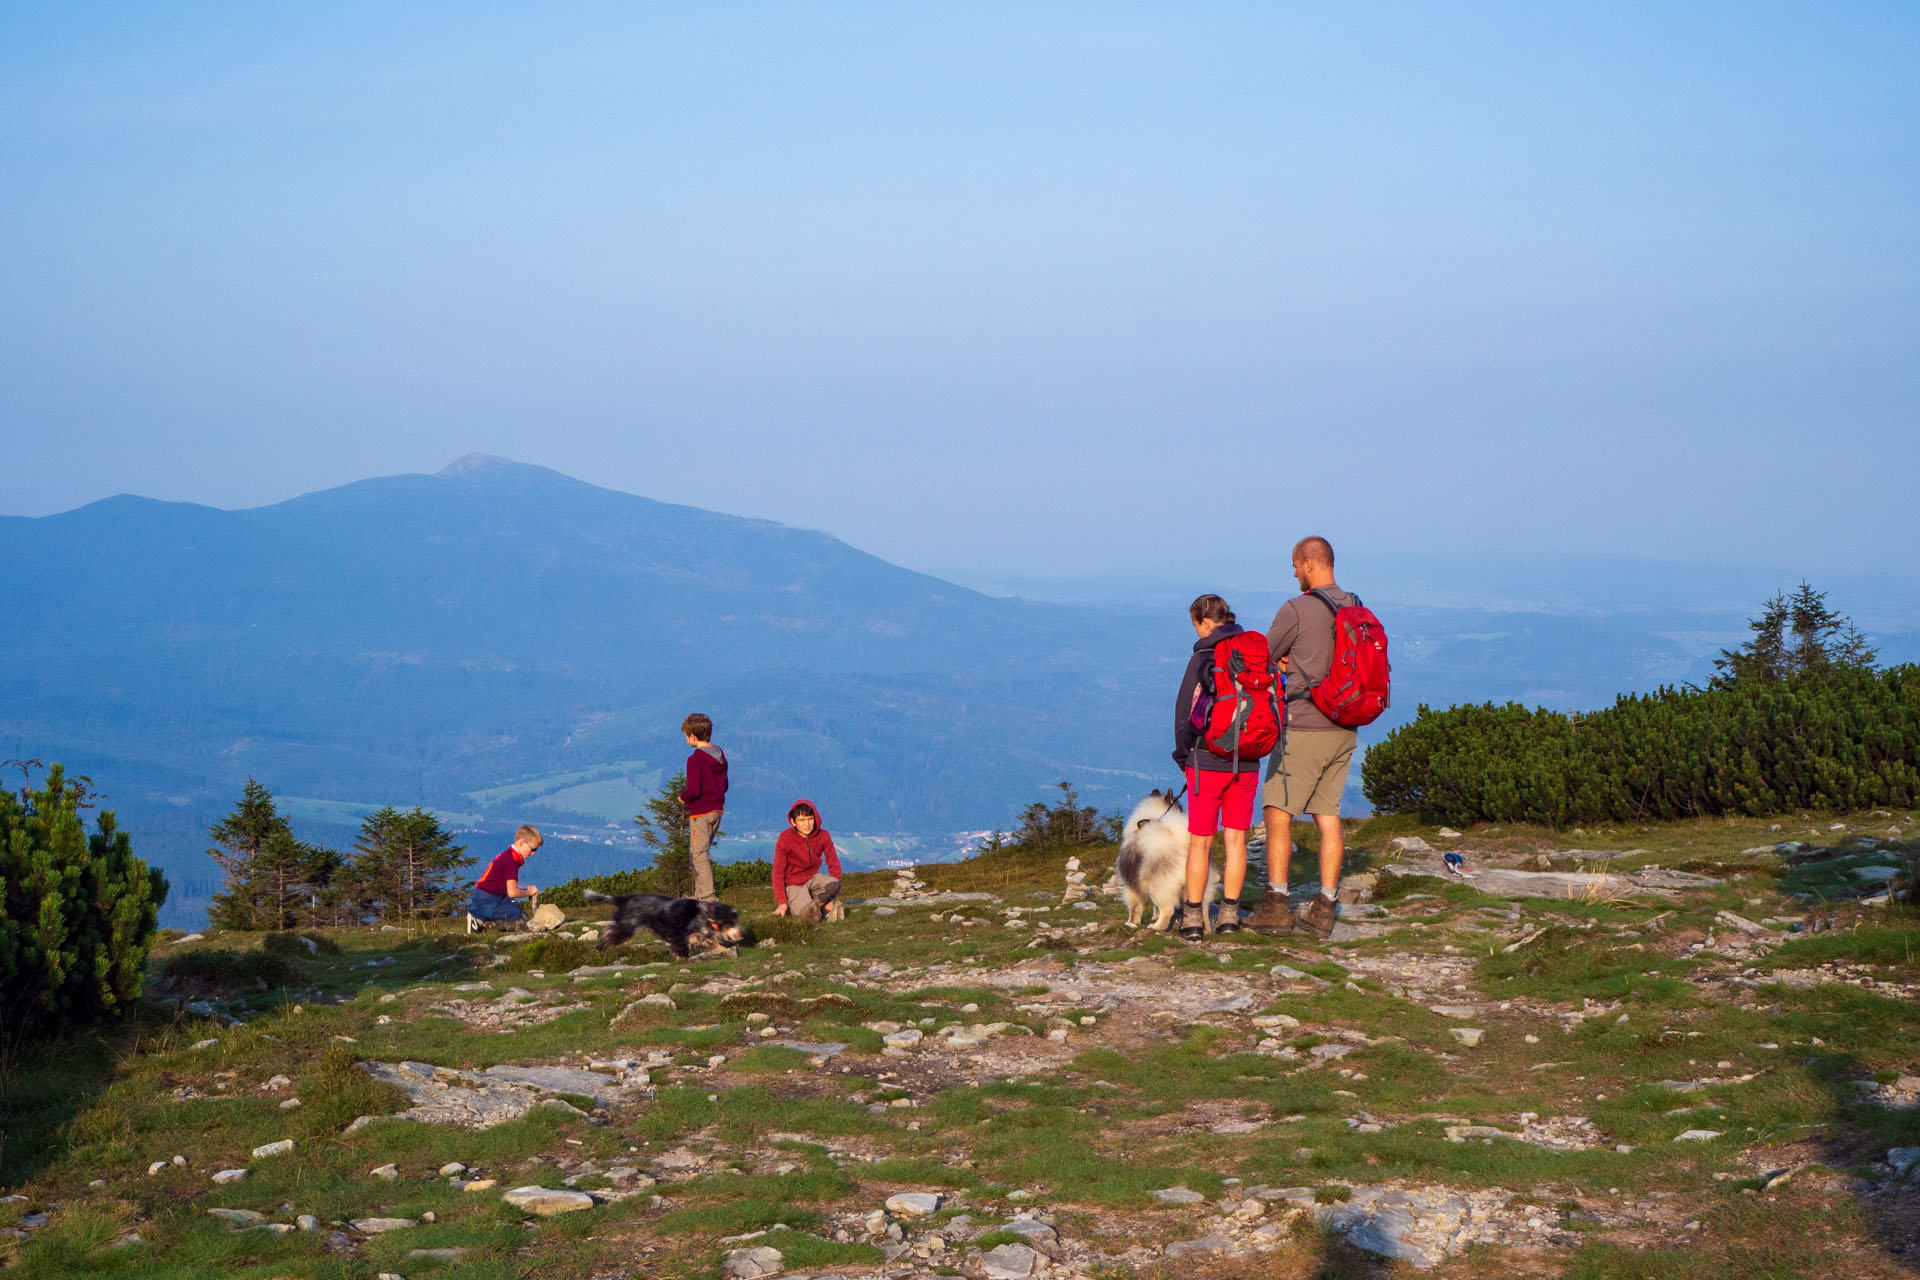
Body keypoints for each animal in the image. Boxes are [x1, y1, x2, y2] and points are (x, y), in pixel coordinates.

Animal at [579, 890, 744, 959]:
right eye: (731, 921)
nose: (742, 934)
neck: (707, 914)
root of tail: (626, 898)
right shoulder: (681, 935)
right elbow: (681, 949)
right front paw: (681, 959)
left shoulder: (699, 936)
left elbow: (713, 943)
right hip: (626, 927)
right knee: (607, 934)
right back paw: (600, 948)